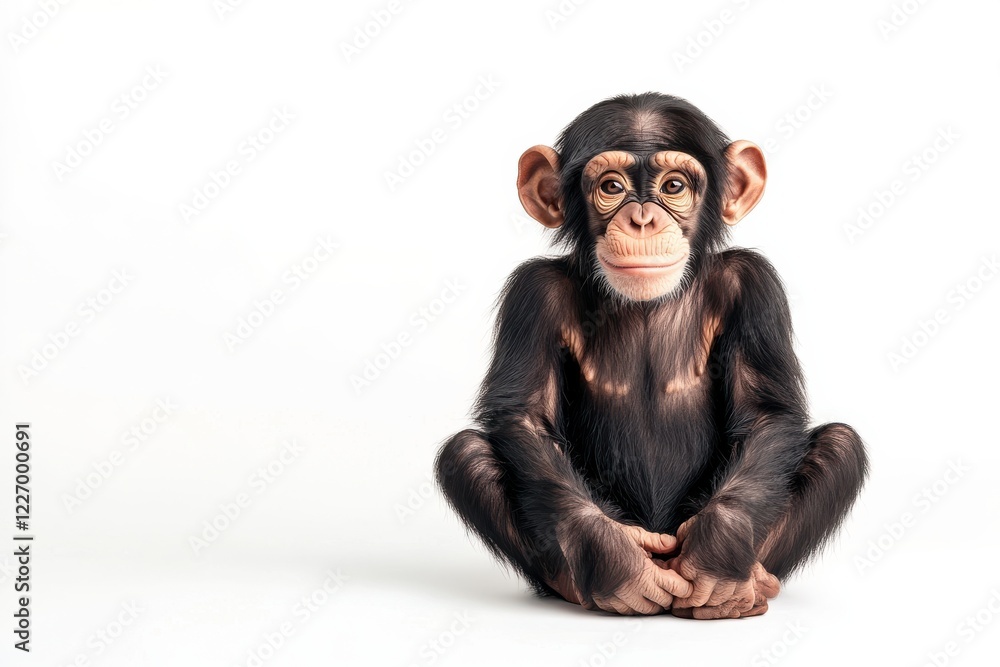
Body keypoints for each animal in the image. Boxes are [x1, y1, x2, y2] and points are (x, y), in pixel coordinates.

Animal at [435, 93, 868, 619]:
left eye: (674, 186)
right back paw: (574, 583)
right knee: (465, 455)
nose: (642, 220)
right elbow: (525, 416)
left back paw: (747, 586)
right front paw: (617, 561)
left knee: (841, 446)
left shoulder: (755, 284)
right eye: (611, 187)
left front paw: (715, 556)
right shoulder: (531, 294)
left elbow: (767, 412)